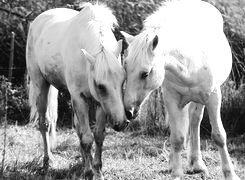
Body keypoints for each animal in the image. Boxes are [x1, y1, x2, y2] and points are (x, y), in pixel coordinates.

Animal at [26, 3, 128, 180]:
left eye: (123, 81)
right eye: (100, 86)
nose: (121, 123)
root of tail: (37, 21)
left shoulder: (100, 104)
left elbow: (98, 135)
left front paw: (97, 170)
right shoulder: (79, 98)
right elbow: (87, 138)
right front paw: (88, 172)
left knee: (77, 128)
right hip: (41, 86)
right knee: (44, 123)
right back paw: (47, 162)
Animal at [121, 0, 240, 180]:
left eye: (145, 73)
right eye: (125, 69)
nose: (129, 111)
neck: (190, 64)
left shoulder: (213, 97)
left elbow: (219, 136)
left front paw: (230, 173)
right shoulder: (172, 98)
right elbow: (177, 138)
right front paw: (176, 172)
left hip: (200, 100)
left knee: (195, 121)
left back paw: (197, 164)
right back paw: (183, 163)